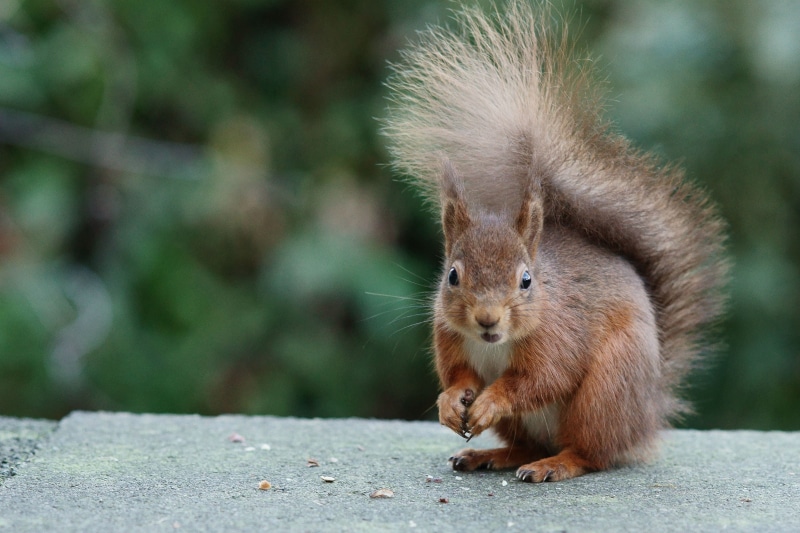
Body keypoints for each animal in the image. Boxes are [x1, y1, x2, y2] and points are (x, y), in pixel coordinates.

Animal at [382, 1, 728, 482]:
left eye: (527, 280)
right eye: (452, 275)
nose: (487, 319)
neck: (496, 344)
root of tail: (647, 414)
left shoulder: (560, 335)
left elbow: (543, 379)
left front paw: (489, 399)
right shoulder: (448, 336)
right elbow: (457, 376)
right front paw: (452, 402)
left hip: (605, 392)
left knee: (591, 452)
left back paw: (555, 463)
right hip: (537, 421)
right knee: (526, 445)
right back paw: (488, 455)